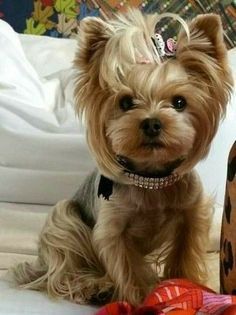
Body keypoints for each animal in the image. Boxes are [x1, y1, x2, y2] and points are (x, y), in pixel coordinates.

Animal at [14, 9, 232, 306]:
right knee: (61, 270)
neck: (150, 177)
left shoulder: (191, 212)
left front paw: (184, 283)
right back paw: (92, 287)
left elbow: (184, 251)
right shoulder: (112, 229)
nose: (152, 123)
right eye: (126, 102)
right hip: (63, 218)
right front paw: (140, 298)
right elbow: (127, 266)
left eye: (179, 102)